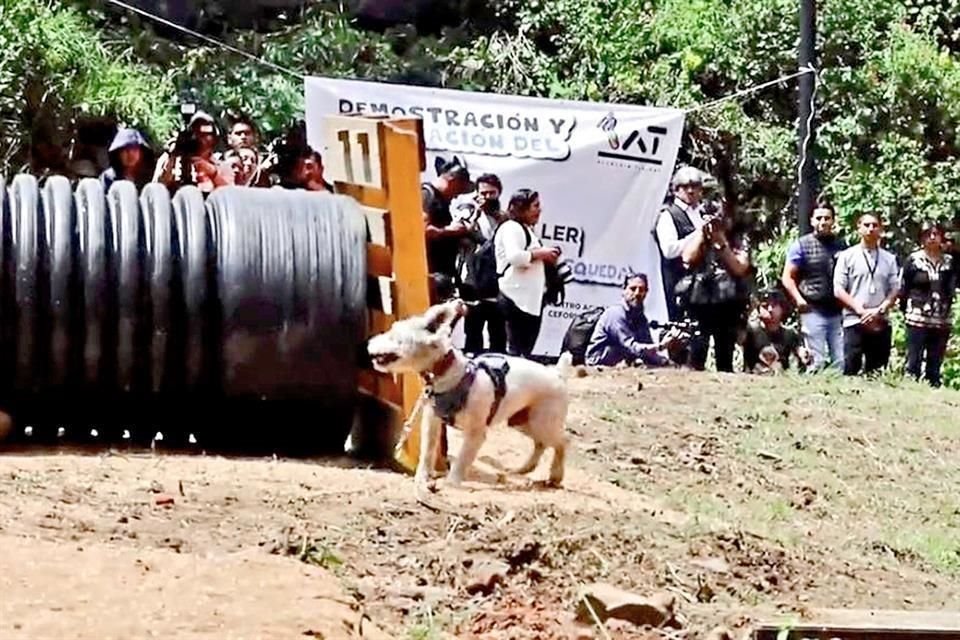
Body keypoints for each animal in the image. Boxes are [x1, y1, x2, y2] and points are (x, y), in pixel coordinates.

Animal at [368, 298, 568, 496]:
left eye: (396, 336)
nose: (370, 343)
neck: (449, 374)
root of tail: (558, 374)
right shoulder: (432, 422)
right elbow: (427, 452)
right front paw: (422, 478)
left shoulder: (476, 433)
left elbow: (462, 459)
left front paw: (451, 484)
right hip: (522, 421)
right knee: (540, 443)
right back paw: (524, 469)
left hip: (543, 421)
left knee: (563, 441)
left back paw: (555, 476)